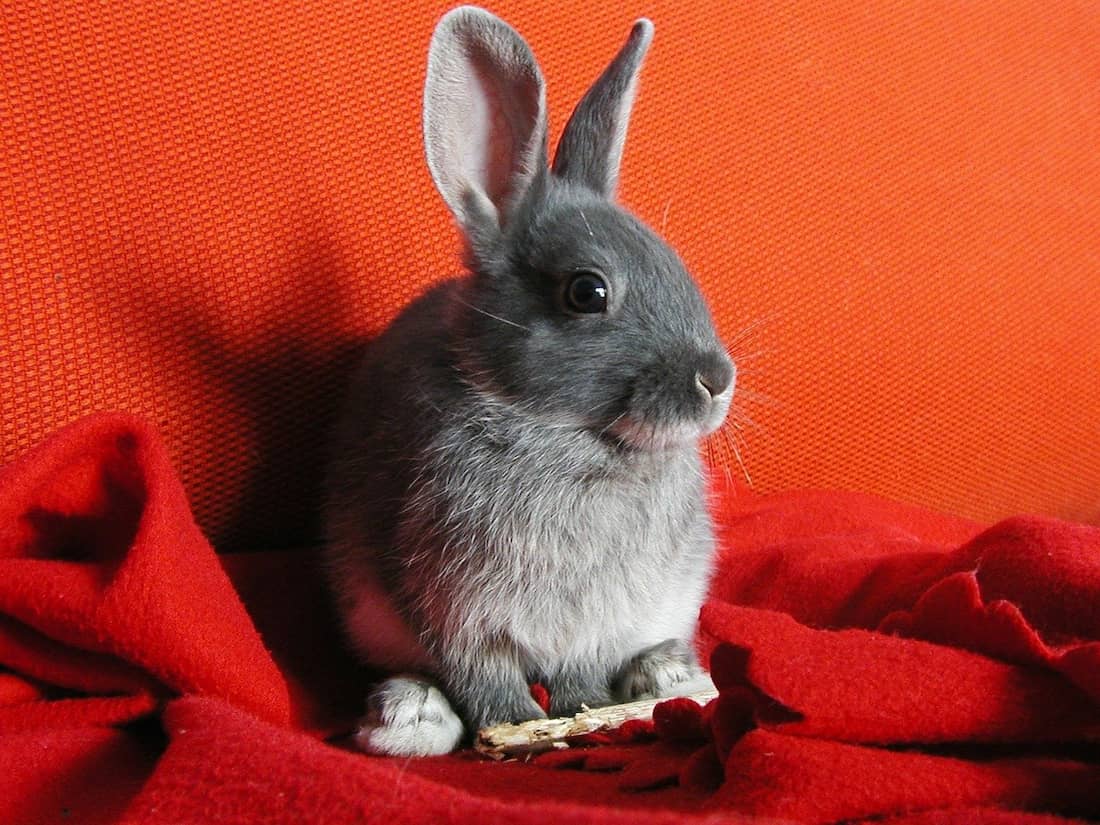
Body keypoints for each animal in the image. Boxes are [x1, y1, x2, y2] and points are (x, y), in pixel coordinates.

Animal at [323, 5, 736, 757]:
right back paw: (411, 715)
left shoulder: (592, 623)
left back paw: (667, 675)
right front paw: (513, 727)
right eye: (587, 292)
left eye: (676, 262)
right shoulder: (452, 607)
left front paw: (579, 710)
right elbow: (482, 676)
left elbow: (578, 673)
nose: (717, 380)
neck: (566, 435)